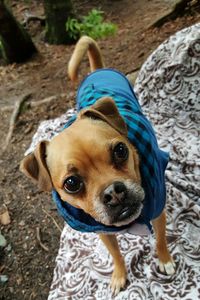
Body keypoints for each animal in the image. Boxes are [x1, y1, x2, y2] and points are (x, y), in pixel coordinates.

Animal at [19, 35, 175, 296]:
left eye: (121, 150)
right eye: (72, 183)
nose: (114, 192)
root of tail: (97, 71)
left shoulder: (158, 212)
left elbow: (161, 239)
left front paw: (165, 259)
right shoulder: (103, 232)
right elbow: (116, 255)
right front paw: (119, 275)